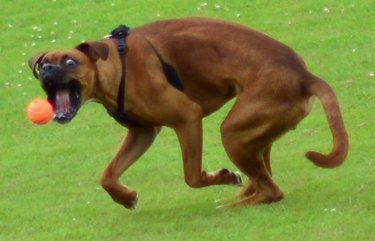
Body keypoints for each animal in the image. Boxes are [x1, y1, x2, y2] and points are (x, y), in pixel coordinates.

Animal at [28, 17, 350, 209]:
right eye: (43, 63)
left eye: (70, 61)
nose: (47, 69)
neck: (116, 64)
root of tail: (304, 75)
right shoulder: (142, 132)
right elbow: (107, 174)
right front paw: (125, 197)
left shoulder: (187, 118)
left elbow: (192, 176)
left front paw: (221, 176)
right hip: (255, 132)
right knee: (263, 177)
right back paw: (242, 194)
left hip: (232, 133)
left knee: (271, 190)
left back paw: (230, 204)